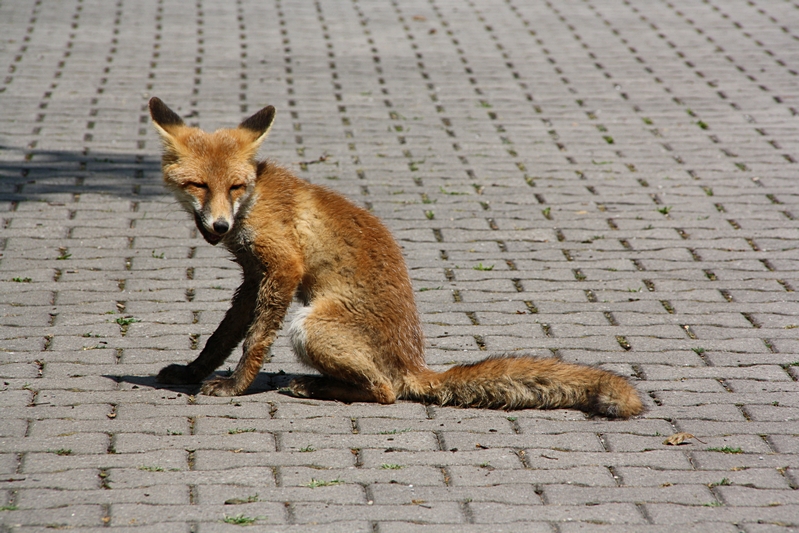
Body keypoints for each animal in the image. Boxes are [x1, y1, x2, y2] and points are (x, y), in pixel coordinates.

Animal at [150, 95, 648, 418]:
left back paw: (315, 386)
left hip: (309, 325)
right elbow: (222, 336)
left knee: (387, 391)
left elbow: (254, 341)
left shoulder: (283, 267)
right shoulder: (254, 275)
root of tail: (413, 362)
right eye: (199, 185)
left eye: (235, 186)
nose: (219, 227)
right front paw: (192, 371)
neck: (254, 203)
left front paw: (236, 386)